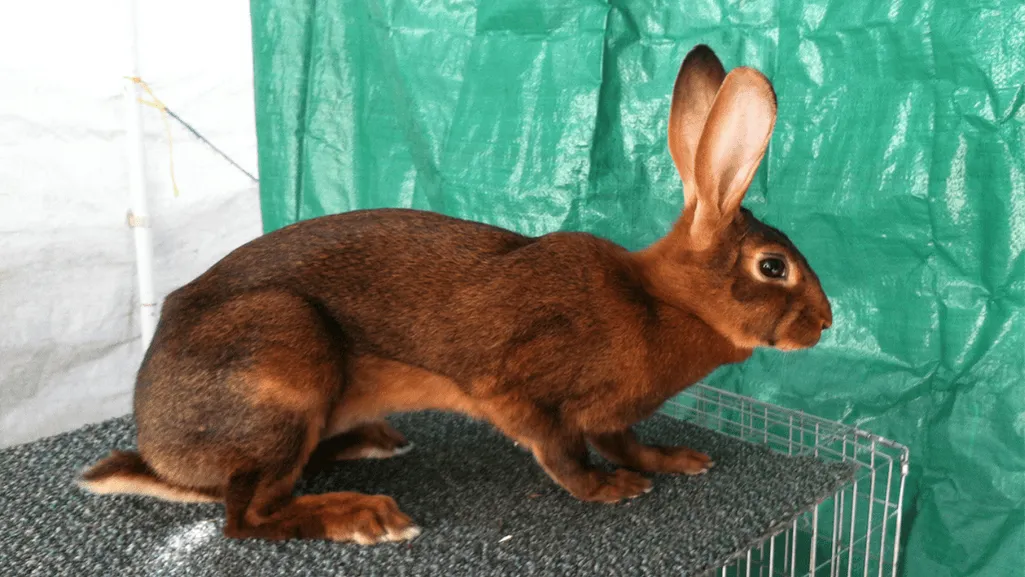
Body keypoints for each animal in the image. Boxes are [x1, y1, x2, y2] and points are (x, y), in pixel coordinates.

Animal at [78, 44, 832, 545]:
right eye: (773, 267)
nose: (825, 324)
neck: (660, 300)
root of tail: (158, 446)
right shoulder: (516, 388)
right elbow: (560, 450)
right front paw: (607, 490)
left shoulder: (611, 415)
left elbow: (626, 441)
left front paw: (675, 461)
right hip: (282, 357)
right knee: (247, 515)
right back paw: (364, 514)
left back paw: (373, 444)